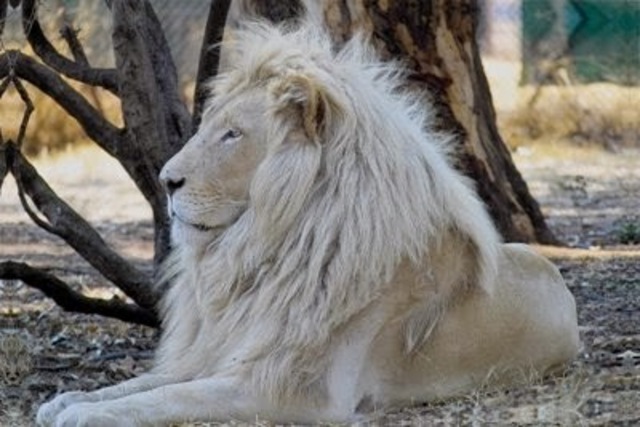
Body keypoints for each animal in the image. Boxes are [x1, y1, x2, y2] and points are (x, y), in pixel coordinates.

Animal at [37, 19, 579, 426]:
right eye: (210, 128)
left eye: (232, 134)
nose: (167, 180)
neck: (265, 252)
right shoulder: (227, 351)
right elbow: (148, 382)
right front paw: (67, 400)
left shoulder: (298, 389)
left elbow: (169, 398)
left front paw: (83, 415)